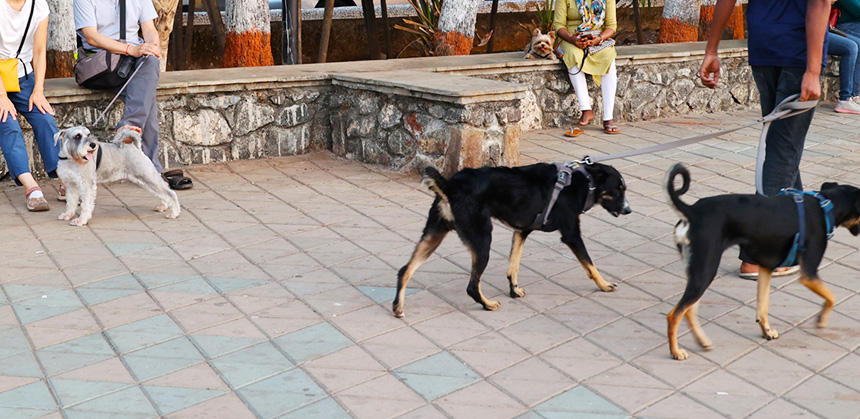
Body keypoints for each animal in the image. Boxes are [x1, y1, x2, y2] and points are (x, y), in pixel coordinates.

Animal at [394, 162, 632, 318]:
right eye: (618, 189)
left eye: (624, 189)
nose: (629, 210)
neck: (584, 181)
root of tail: (450, 187)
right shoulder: (571, 234)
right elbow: (590, 265)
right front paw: (604, 284)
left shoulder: (521, 231)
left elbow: (513, 265)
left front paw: (514, 290)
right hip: (482, 241)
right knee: (472, 286)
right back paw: (488, 305)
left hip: (433, 235)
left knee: (405, 270)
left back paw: (398, 307)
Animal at [664, 164, 860, 360]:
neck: (825, 205)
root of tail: (692, 211)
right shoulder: (809, 274)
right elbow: (832, 297)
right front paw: (821, 319)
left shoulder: (766, 268)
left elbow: (762, 307)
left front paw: (767, 331)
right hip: (706, 270)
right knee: (674, 315)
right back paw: (675, 351)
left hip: (699, 271)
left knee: (689, 311)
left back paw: (702, 341)